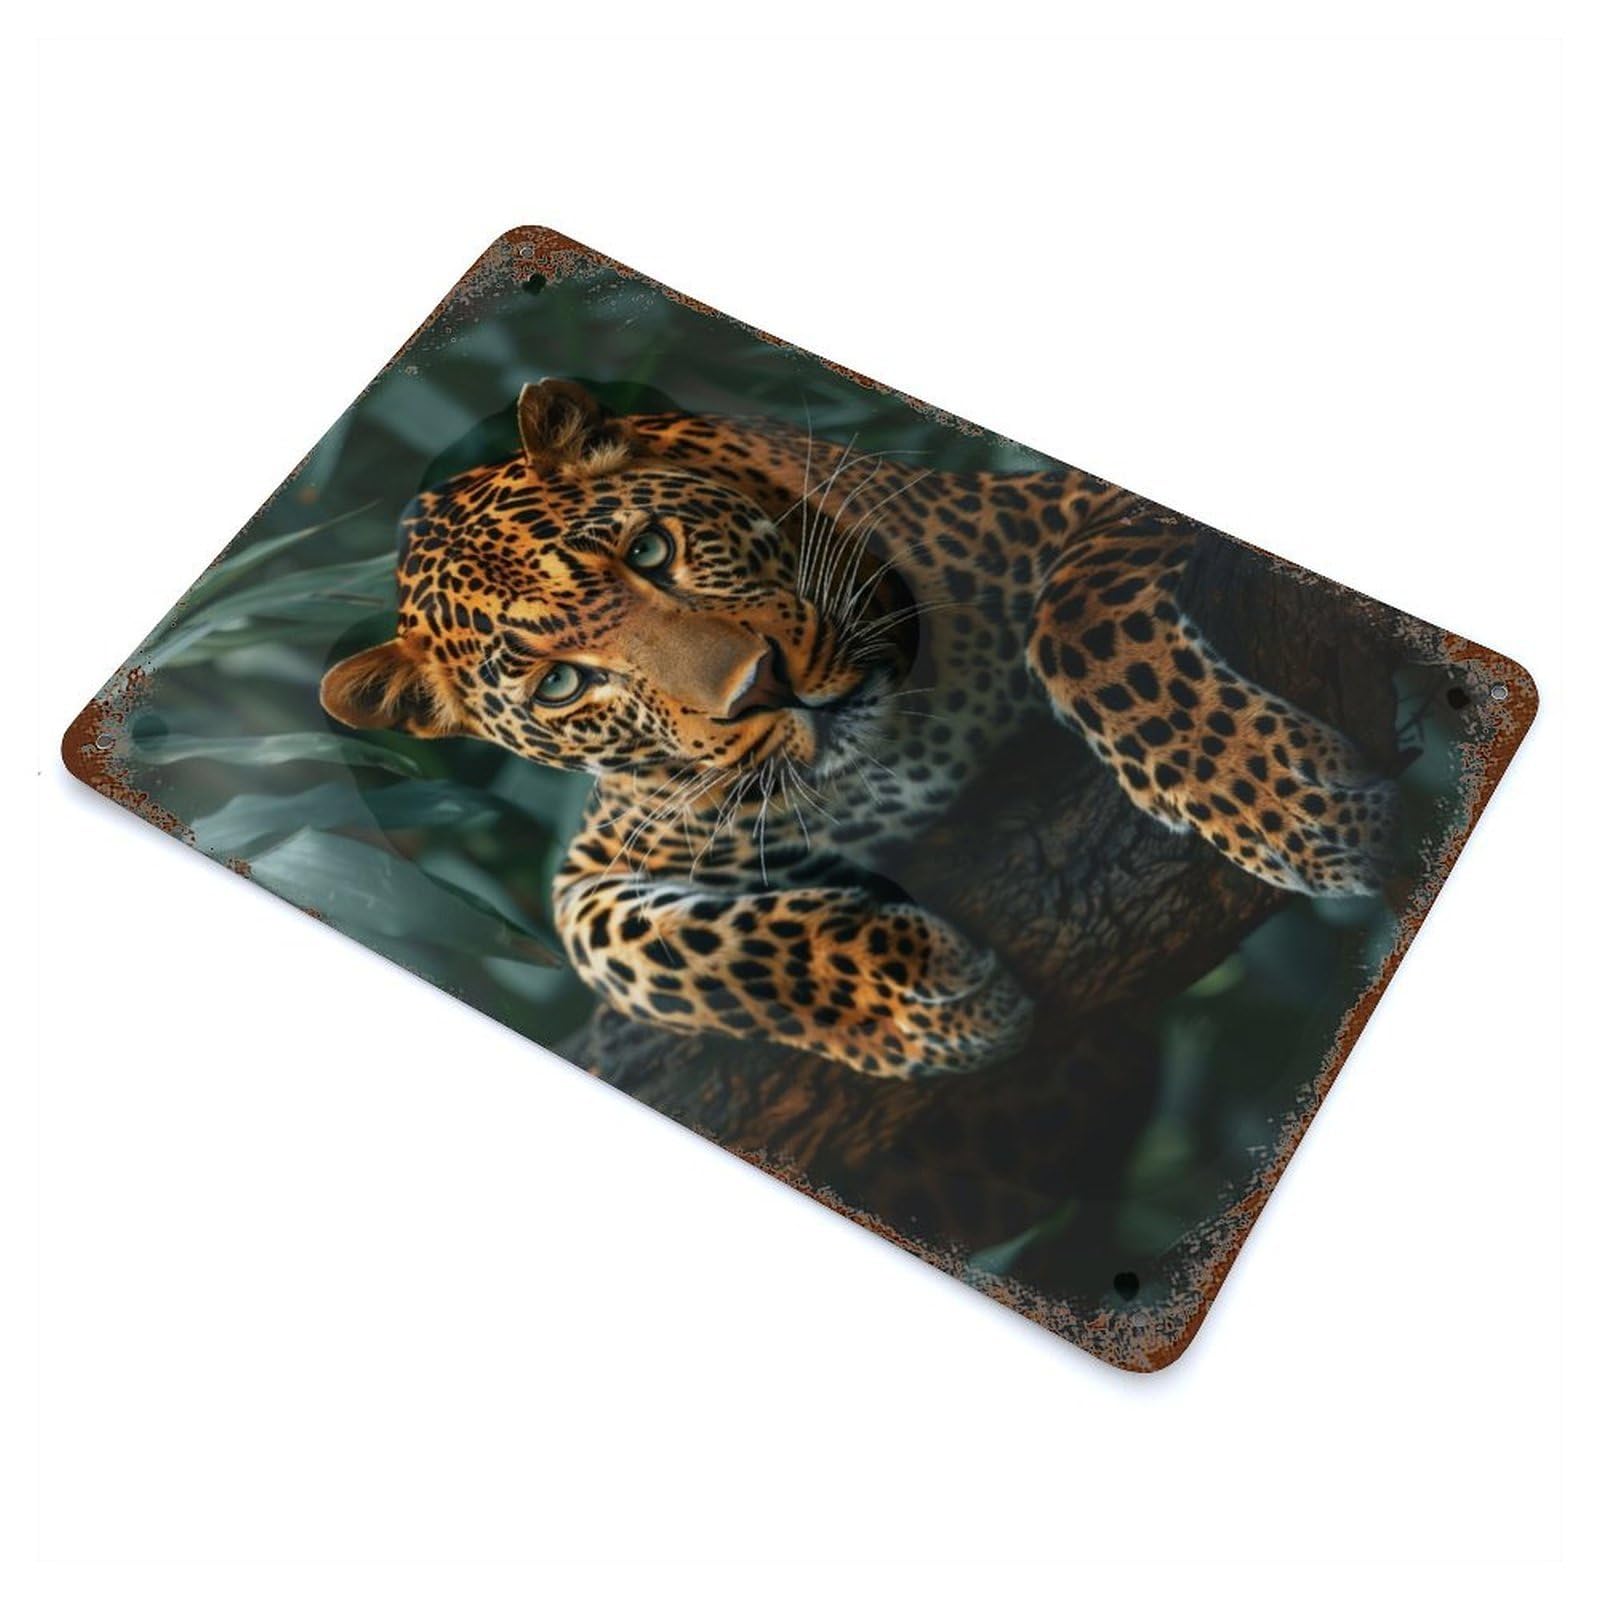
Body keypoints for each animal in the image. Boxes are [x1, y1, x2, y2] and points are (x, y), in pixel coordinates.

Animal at [321, 379, 1397, 1079]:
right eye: (558, 684)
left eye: (650, 549)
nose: (762, 688)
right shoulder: (599, 869)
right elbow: (654, 952)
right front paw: (922, 1000)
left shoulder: (1071, 506)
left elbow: (1080, 619)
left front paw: (1286, 802)